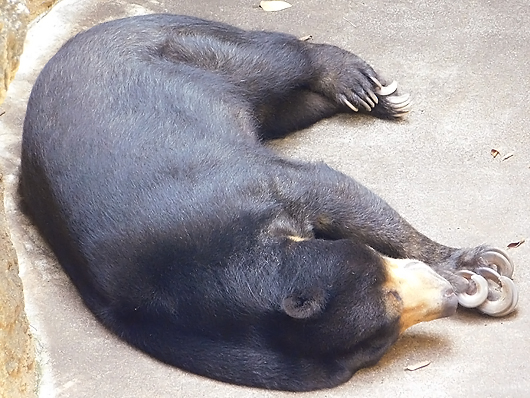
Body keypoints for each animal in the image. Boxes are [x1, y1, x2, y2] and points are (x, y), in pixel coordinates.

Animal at [19, 13, 516, 392]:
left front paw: (476, 268)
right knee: (281, 105)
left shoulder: (237, 188)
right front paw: (474, 281)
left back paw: (368, 89)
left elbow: (330, 190)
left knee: (274, 63)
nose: (449, 298)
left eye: (382, 275)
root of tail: (101, 28)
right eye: (383, 338)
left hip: (187, 48)